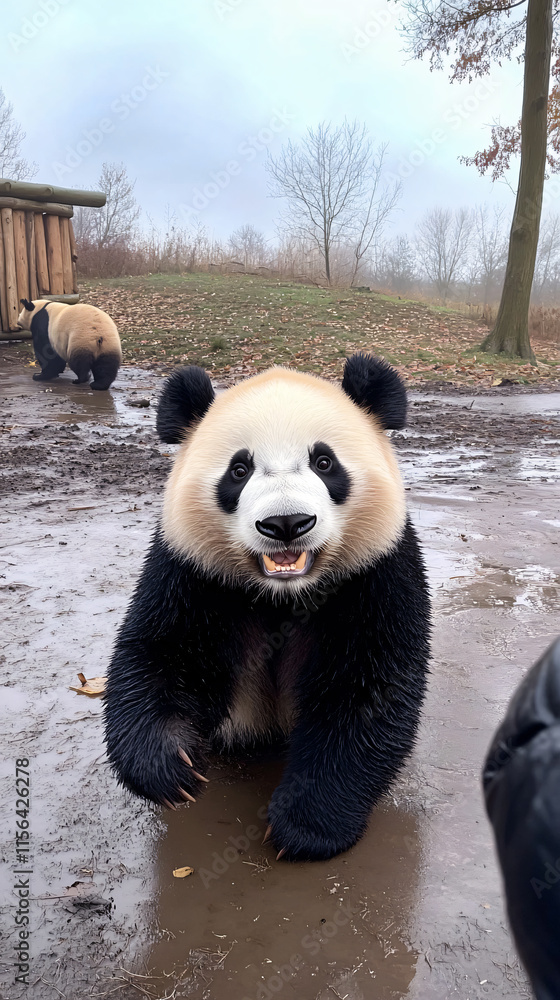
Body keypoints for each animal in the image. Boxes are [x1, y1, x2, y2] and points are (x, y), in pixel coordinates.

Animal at [104, 354, 431, 861]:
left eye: (324, 462)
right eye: (238, 470)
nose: (286, 523)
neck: (285, 592)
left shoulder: (378, 567)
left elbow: (368, 686)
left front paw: (307, 826)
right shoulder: (191, 568)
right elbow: (163, 651)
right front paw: (170, 767)